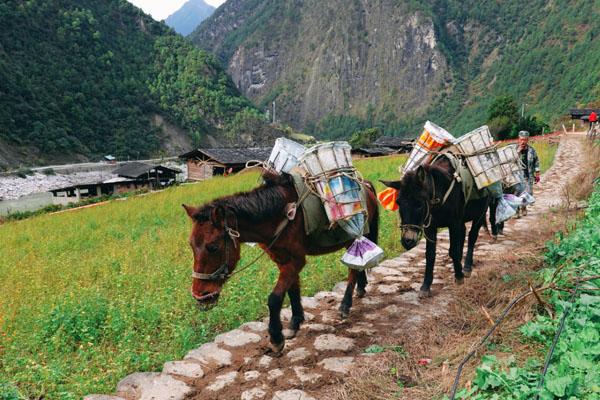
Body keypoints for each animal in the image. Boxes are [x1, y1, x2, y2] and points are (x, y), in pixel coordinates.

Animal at [183, 170, 380, 352]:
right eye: (191, 245)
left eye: (213, 247)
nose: (200, 296)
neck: (277, 216)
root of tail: (365, 185)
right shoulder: (283, 260)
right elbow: (292, 290)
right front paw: (295, 322)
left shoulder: (296, 260)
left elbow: (275, 298)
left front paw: (276, 338)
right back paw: (361, 288)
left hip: (352, 238)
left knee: (352, 270)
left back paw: (345, 305)